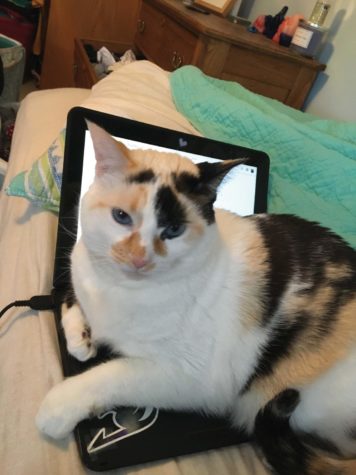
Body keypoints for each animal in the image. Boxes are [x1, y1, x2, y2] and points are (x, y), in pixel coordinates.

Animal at [35, 121, 356, 474]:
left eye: (173, 231)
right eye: (121, 217)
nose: (139, 259)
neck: (119, 290)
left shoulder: (193, 378)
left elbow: (112, 374)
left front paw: (58, 407)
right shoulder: (78, 270)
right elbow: (68, 296)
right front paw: (81, 339)